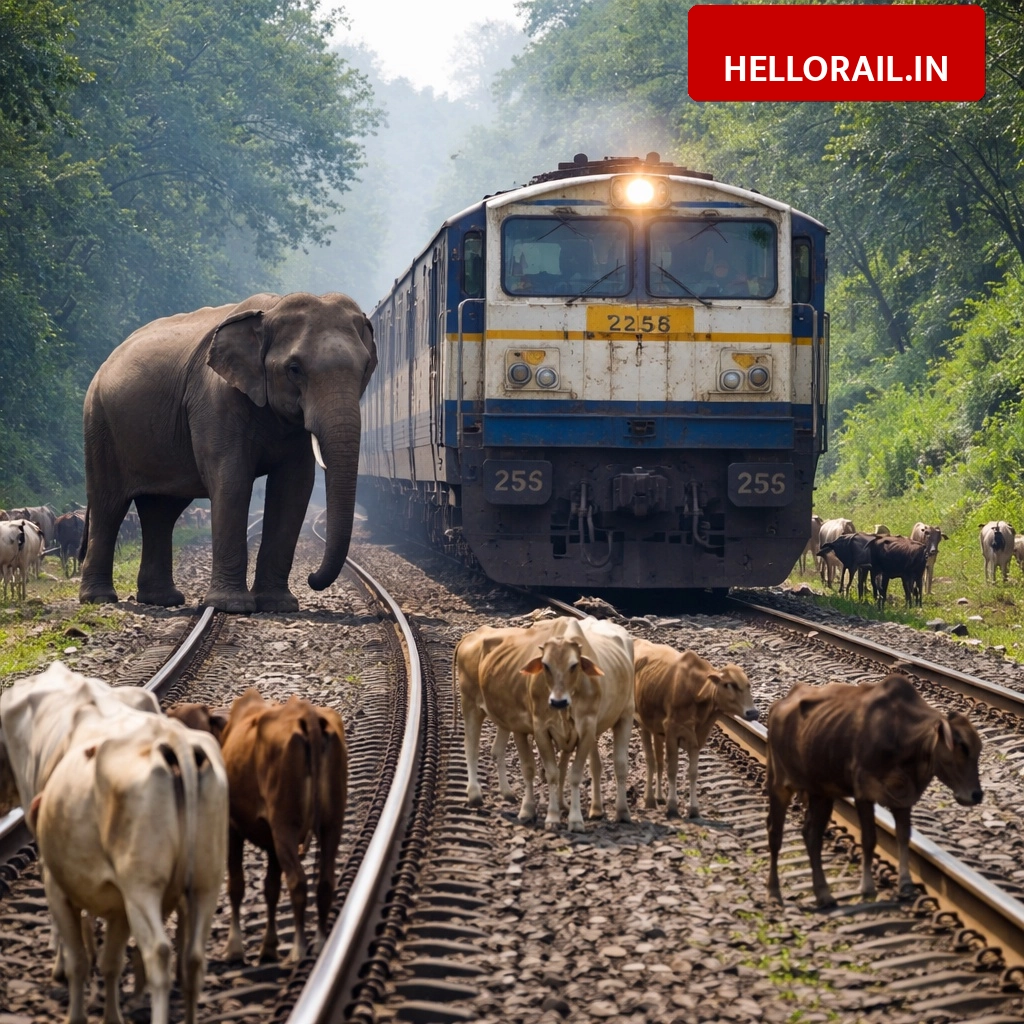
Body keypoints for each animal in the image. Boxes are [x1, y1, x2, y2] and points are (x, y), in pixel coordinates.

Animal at [79, 292, 377, 613]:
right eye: (294, 369)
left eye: (365, 368)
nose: (312, 578)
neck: (271, 309)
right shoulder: (215, 399)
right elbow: (232, 480)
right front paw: (231, 606)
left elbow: (293, 488)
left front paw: (278, 604)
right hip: (99, 424)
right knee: (109, 505)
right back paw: (98, 598)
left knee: (161, 510)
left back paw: (163, 599)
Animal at [168, 690, 348, 963]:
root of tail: (308, 716)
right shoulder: (272, 842)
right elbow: (270, 888)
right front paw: (269, 946)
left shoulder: (232, 828)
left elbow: (236, 885)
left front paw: (234, 947)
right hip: (331, 824)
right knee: (325, 881)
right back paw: (318, 943)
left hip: (285, 826)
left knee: (298, 881)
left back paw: (298, 948)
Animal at [633, 639, 758, 818]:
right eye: (729, 684)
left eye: (748, 685)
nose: (753, 712)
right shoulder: (672, 732)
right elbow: (673, 769)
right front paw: (672, 806)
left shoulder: (696, 739)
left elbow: (692, 772)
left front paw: (693, 808)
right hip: (641, 722)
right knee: (650, 760)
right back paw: (649, 799)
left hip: (656, 729)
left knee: (658, 760)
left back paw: (659, 797)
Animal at [766, 674, 982, 908]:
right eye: (962, 748)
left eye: (978, 749)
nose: (976, 794)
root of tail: (779, 705)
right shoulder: (864, 792)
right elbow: (869, 839)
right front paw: (867, 886)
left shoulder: (903, 796)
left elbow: (903, 836)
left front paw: (906, 884)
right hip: (779, 784)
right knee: (775, 833)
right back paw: (774, 892)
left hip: (821, 793)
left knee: (812, 835)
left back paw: (824, 894)